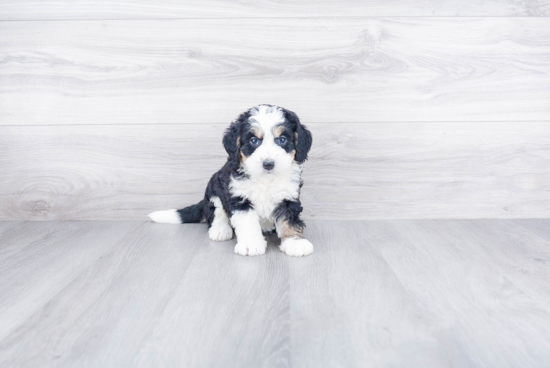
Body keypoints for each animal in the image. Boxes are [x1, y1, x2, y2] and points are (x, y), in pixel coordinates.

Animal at [148, 105, 314, 258]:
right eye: (253, 140)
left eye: (282, 139)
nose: (268, 164)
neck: (264, 180)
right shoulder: (239, 197)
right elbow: (247, 222)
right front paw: (251, 244)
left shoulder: (288, 197)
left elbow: (290, 220)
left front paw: (295, 242)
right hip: (214, 188)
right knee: (217, 213)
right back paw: (220, 230)